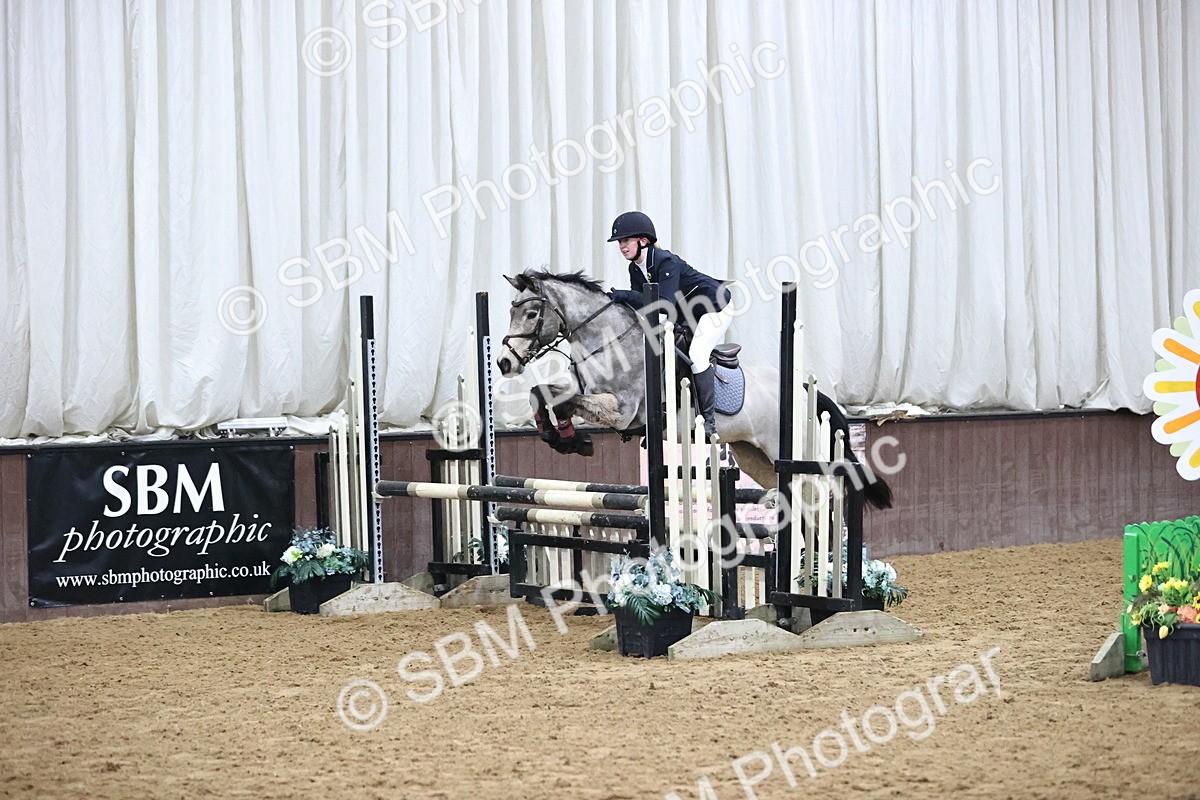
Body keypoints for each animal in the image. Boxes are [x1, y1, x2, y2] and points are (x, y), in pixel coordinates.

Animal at [496, 269, 892, 510]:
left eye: (531, 314)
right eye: (511, 312)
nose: (503, 363)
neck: (608, 342)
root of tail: (811, 394)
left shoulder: (624, 411)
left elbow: (565, 403)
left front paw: (572, 439)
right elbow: (542, 394)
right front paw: (559, 437)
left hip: (792, 452)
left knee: (821, 494)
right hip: (755, 456)